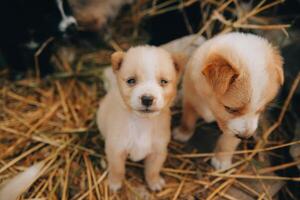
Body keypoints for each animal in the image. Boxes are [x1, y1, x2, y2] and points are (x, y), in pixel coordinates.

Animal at [97, 45, 184, 191]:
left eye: (163, 82)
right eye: (131, 81)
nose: (147, 99)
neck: (142, 122)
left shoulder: (158, 151)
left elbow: (152, 170)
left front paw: (154, 182)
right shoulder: (116, 150)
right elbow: (117, 169)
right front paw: (114, 183)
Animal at [173, 32, 284, 170]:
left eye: (260, 111)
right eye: (230, 109)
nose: (245, 137)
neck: (210, 103)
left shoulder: (234, 129)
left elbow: (227, 142)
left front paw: (221, 160)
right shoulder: (191, 99)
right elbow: (188, 119)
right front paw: (182, 133)